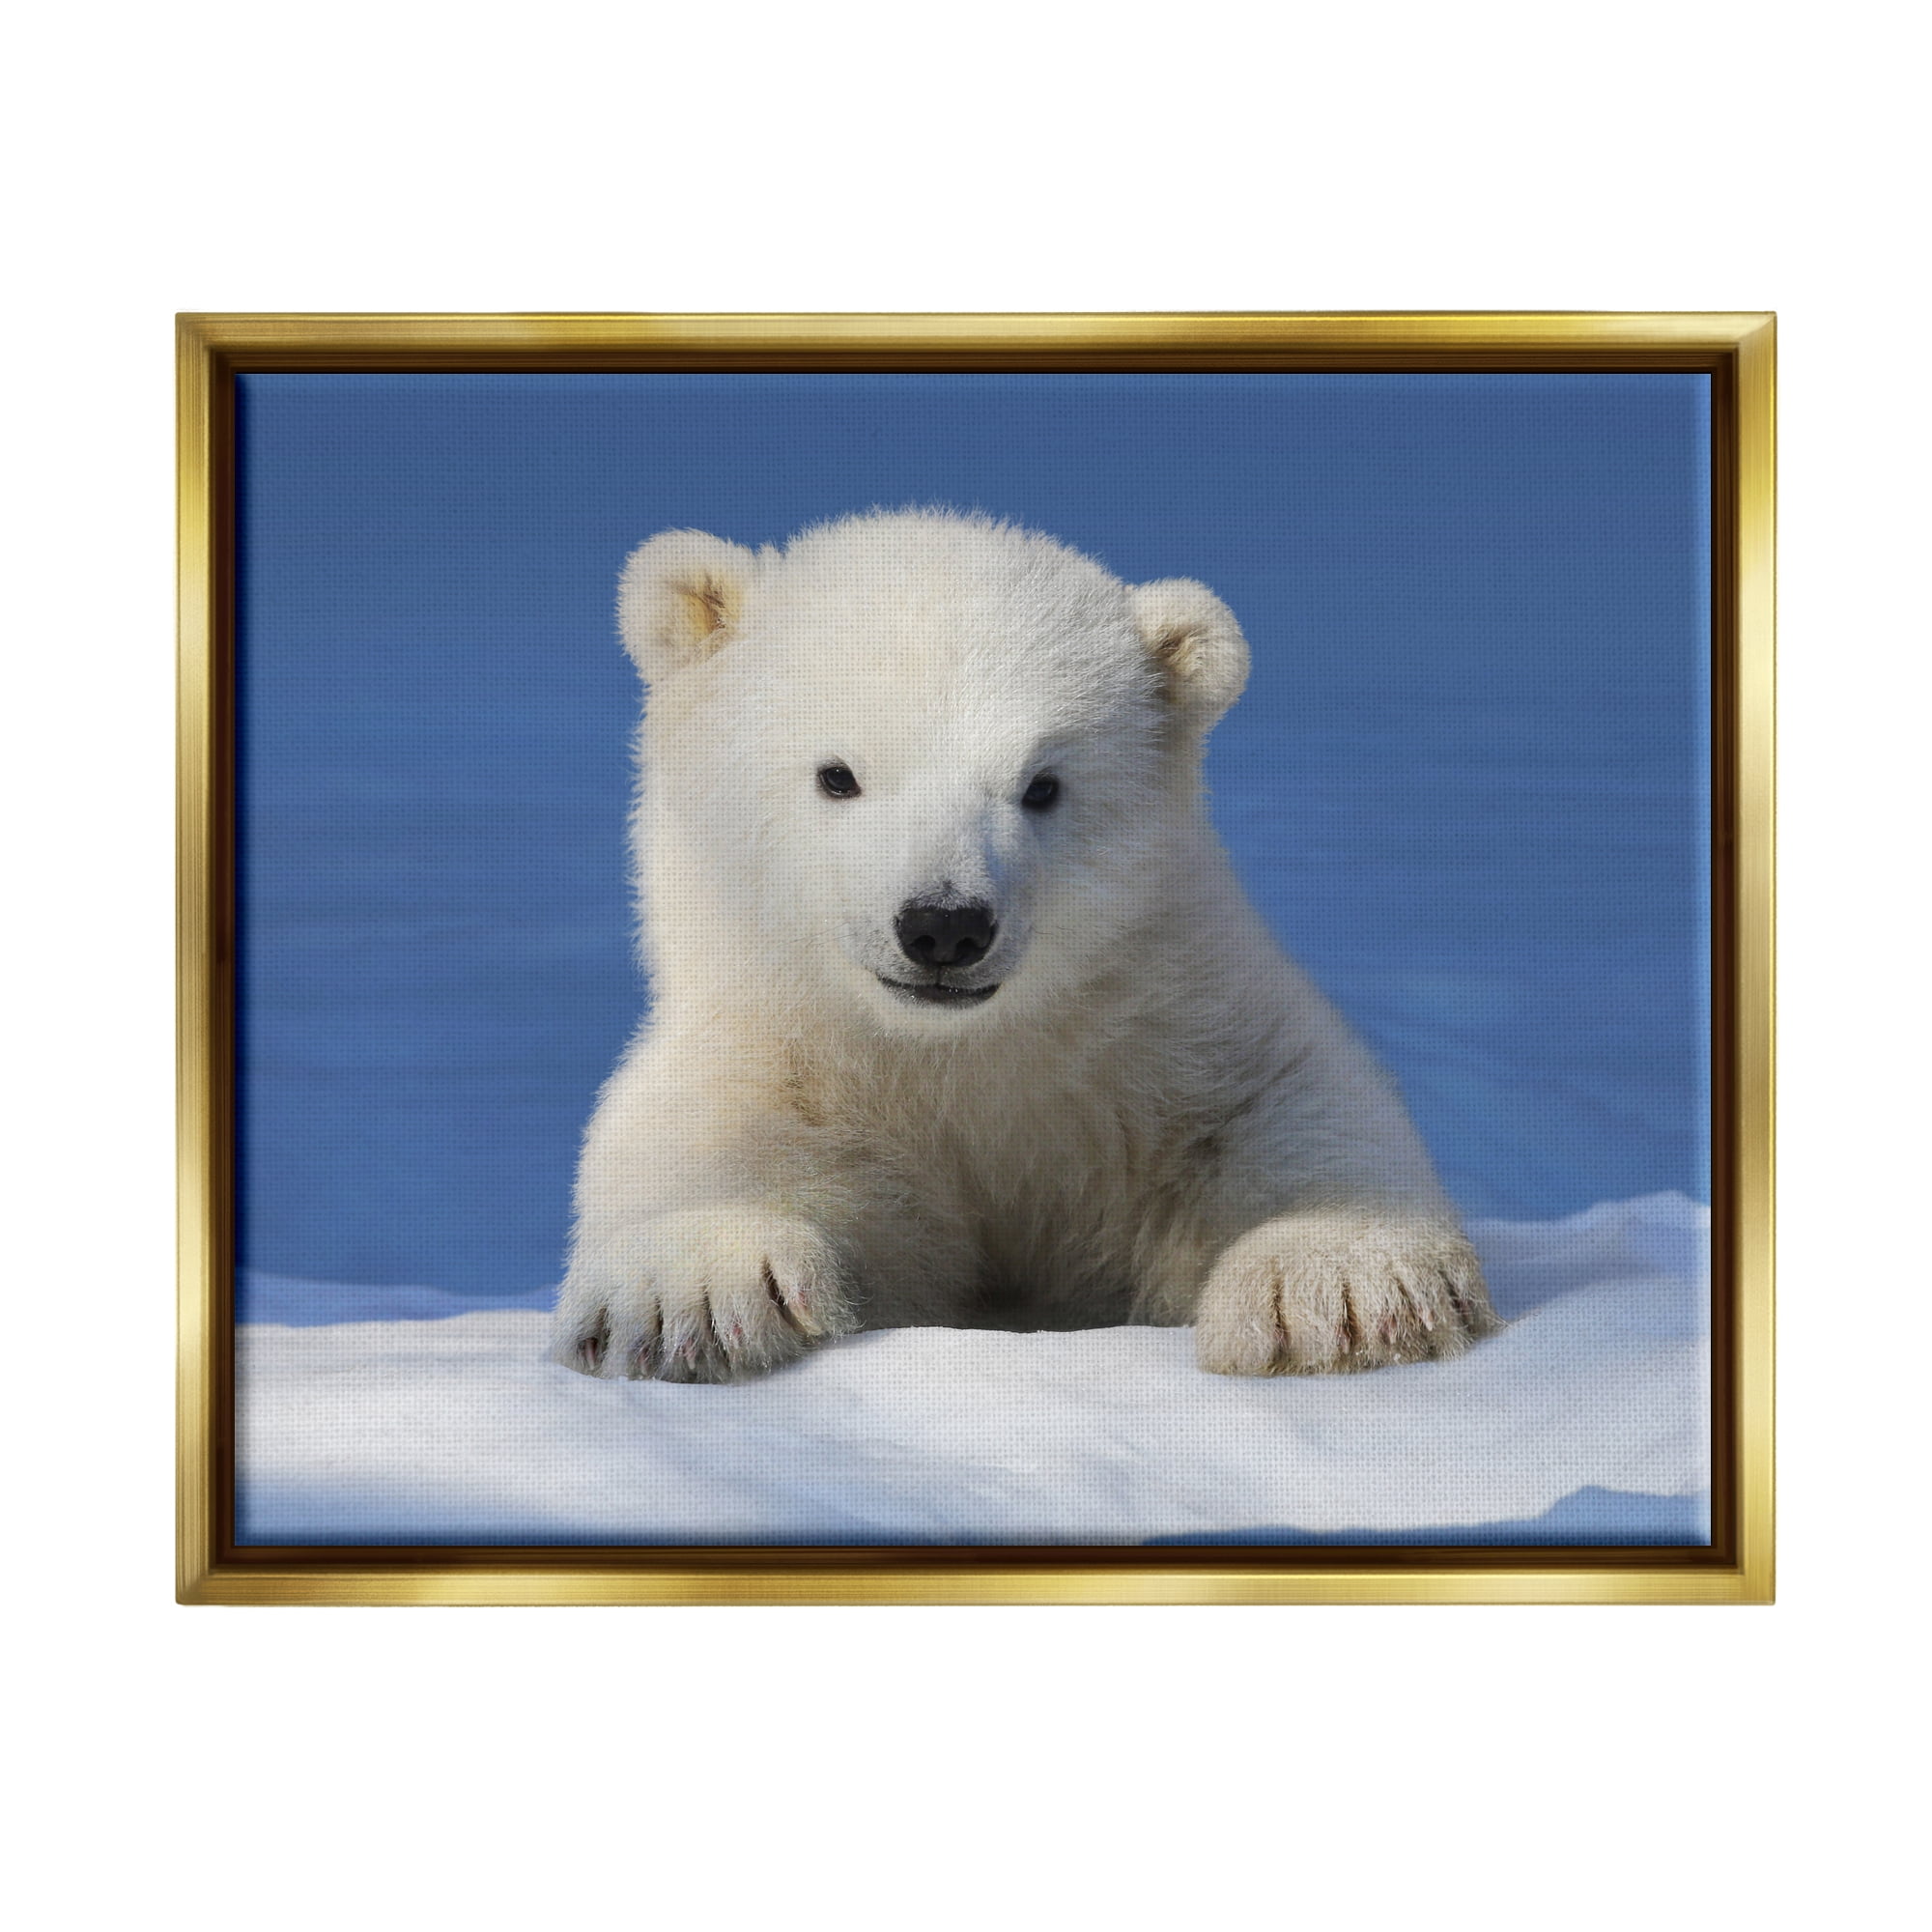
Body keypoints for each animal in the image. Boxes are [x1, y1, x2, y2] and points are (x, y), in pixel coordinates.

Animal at [552, 509, 1500, 1383]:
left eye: (1042, 786)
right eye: (837, 775)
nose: (944, 925)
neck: (960, 1057)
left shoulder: (1165, 1025)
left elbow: (1284, 1099)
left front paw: (1338, 1287)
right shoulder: (783, 1053)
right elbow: (699, 1140)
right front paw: (694, 1298)